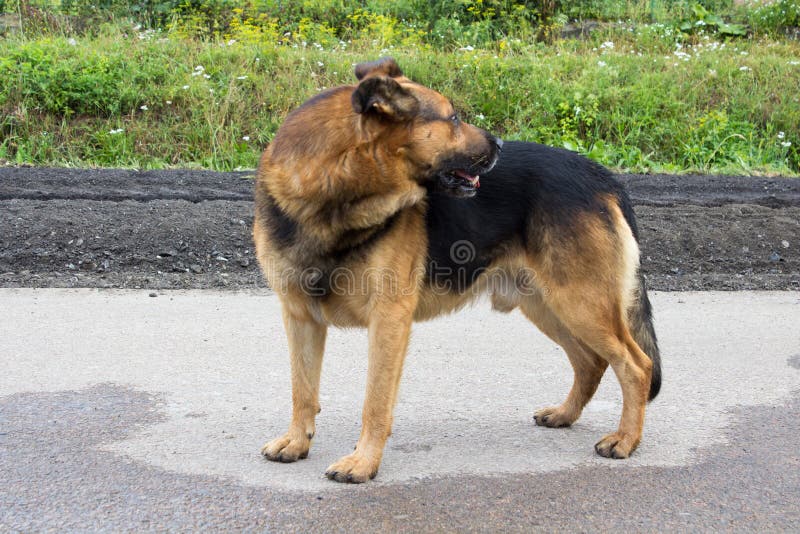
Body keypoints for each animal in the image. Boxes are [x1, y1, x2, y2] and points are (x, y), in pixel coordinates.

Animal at [253, 56, 660, 484]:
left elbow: (375, 401)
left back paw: (625, 440)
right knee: (591, 361)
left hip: (580, 303)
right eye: (453, 119)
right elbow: (302, 390)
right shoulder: (300, 318)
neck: (331, 190)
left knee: (635, 365)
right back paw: (565, 414)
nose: (500, 144)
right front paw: (296, 441)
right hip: (549, 305)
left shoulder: (389, 321)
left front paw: (363, 462)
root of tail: (603, 177)